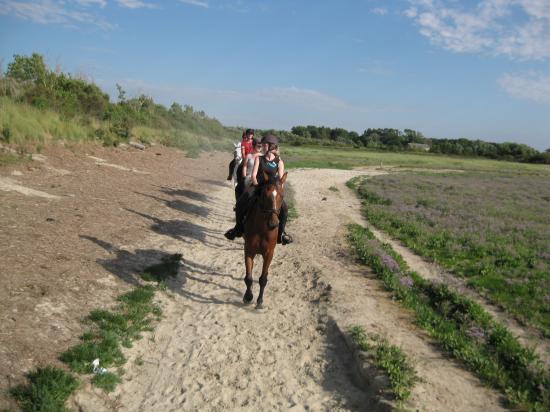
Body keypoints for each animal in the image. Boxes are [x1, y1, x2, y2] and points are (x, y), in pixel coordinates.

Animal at [244, 171, 292, 308]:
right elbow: (248, 277)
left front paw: (260, 301)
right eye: (265, 195)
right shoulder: (249, 251)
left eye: (282, 195)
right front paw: (248, 296)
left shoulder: (269, 253)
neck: (262, 229)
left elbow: (263, 279)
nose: (273, 224)